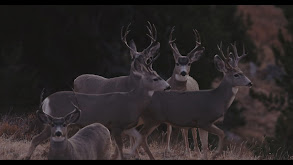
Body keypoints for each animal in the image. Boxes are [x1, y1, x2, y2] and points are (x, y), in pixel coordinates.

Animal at [24, 59, 170, 160]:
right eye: (155, 78)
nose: (168, 86)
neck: (133, 100)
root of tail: (46, 100)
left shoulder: (127, 126)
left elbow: (139, 138)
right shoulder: (116, 124)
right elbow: (120, 147)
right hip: (53, 120)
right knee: (35, 139)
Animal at [164, 26, 205, 157]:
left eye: (189, 63)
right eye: (177, 62)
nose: (183, 72)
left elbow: (187, 130)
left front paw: (188, 152)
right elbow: (169, 128)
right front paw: (167, 149)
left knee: (193, 130)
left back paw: (197, 151)